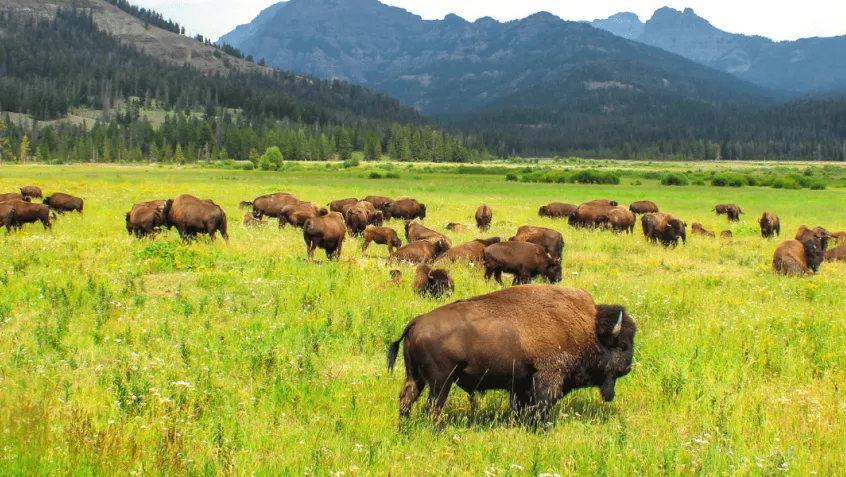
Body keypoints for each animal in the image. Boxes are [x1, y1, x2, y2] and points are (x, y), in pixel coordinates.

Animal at [387, 285, 636, 418]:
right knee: (433, 406)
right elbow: (543, 406)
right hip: (441, 382)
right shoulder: (548, 378)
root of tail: (417, 322)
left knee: (407, 398)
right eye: (622, 345)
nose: (627, 368)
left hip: (416, 377)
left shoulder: (521, 384)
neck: (587, 328)